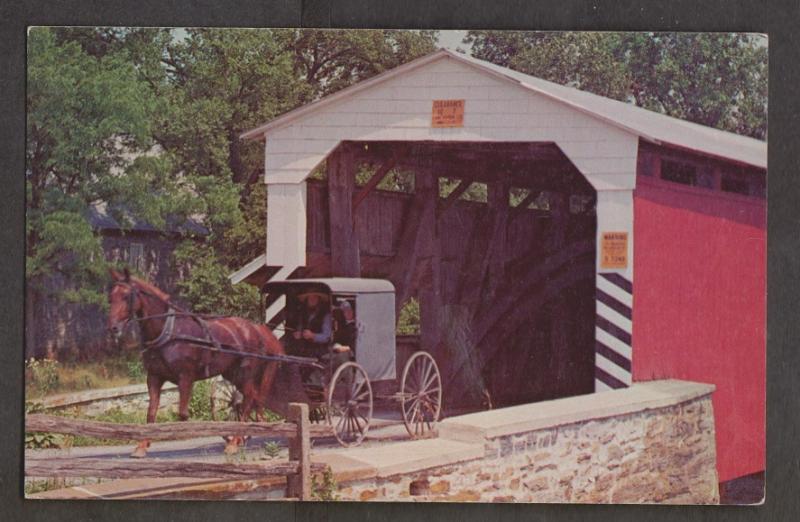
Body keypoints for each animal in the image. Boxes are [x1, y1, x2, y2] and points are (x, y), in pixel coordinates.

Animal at [104, 268, 282, 456]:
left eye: (126, 296)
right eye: (111, 297)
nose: (113, 328)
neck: (168, 332)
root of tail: (255, 330)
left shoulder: (185, 377)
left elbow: (182, 414)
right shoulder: (154, 377)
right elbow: (151, 412)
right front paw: (142, 445)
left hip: (245, 373)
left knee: (248, 400)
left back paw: (234, 442)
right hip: (233, 374)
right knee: (250, 399)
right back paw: (241, 437)